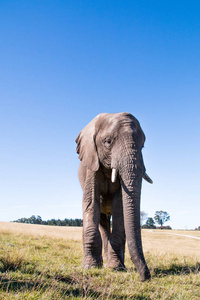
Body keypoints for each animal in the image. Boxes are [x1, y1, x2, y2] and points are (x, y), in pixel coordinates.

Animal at [76, 112, 152, 282]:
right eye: (108, 141)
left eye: (143, 146)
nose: (147, 277)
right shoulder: (92, 163)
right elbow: (91, 202)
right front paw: (90, 267)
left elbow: (120, 207)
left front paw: (116, 268)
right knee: (102, 221)